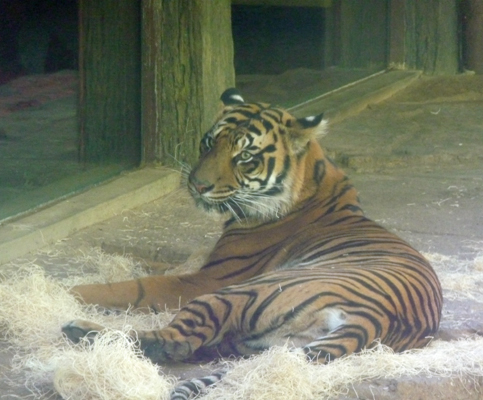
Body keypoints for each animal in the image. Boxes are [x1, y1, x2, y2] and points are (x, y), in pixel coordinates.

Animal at [62, 88, 444, 400]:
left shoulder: (206, 279)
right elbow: (159, 264)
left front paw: (70, 291)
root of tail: (377, 319)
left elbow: (133, 286)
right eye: (208, 143)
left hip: (236, 293)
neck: (313, 182)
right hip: (261, 341)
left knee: (175, 342)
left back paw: (80, 330)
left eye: (244, 157)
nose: (197, 185)